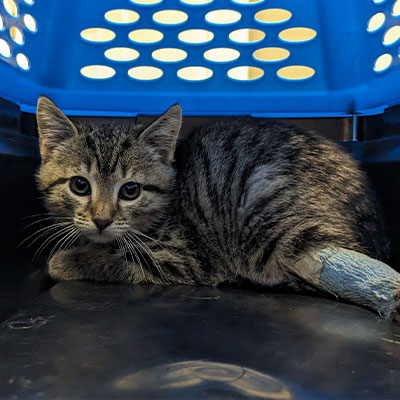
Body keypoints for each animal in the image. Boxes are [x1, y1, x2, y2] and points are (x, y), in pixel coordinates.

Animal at [36, 96, 390, 290]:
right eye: (80, 185)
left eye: (131, 190)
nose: (101, 220)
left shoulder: (187, 258)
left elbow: (114, 261)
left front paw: (64, 261)